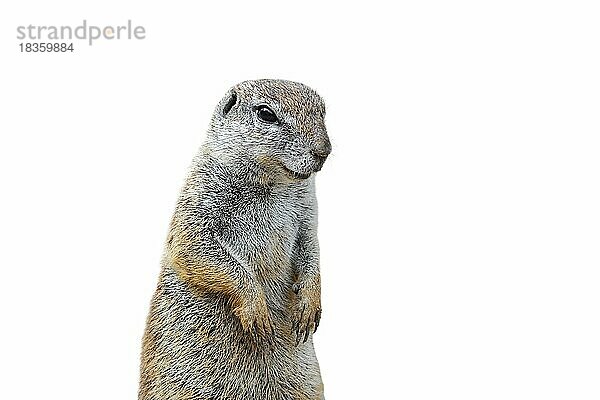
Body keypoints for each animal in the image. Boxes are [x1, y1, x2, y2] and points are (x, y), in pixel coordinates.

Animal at [139, 79, 330, 398]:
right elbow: (194, 247)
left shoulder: (308, 212)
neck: (272, 183)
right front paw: (257, 312)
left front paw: (309, 306)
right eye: (266, 114)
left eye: (323, 111)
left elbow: (311, 249)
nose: (324, 151)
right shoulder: (199, 197)